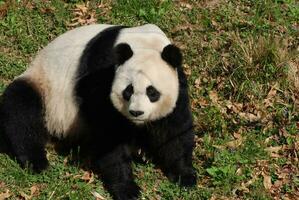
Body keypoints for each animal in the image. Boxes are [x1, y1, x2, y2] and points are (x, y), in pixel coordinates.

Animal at [0, 24, 198, 199]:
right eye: (128, 91)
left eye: (152, 92)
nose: (136, 112)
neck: (143, 42)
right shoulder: (101, 73)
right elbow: (109, 133)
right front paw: (128, 189)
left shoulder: (178, 80)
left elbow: (175, 130)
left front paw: (186, 176)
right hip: (44, 88)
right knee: (21, 108)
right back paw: (37, 161)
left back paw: (143, 152)